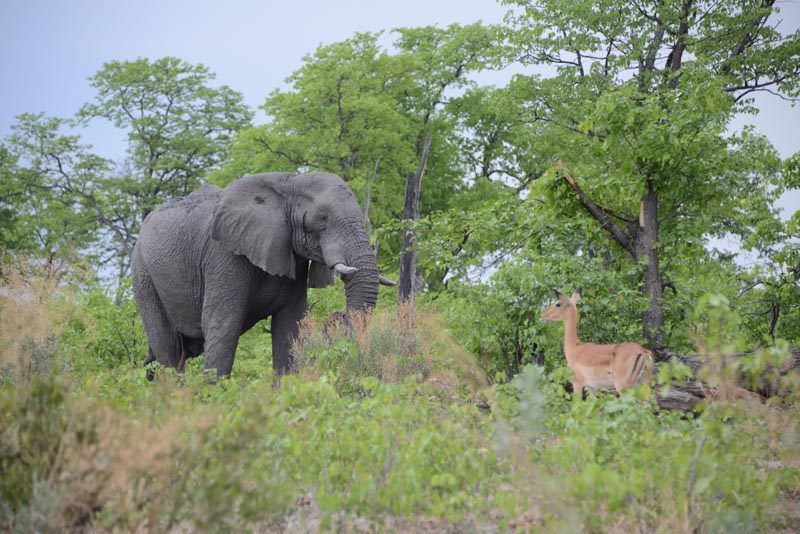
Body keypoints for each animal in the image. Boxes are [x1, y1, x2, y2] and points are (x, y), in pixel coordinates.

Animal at [131, 171, 393, 378]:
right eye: (322, 219)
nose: (337, 317)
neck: (290, 184)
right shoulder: (223, 256)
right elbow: (222, 325)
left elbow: (289, 326)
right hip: (143, 274)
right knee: (167, 347)